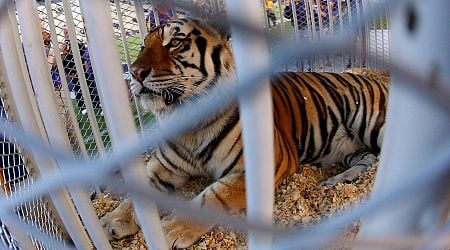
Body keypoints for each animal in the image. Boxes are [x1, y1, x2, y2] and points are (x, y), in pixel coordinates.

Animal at [100, 18, 388, 248]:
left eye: (176, 43)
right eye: (142, 46)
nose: (135, 72)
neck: (188, 125)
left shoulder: (261, 167)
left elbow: (212, 197)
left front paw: (169, 229)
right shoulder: (164, 166)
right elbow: (137, 192)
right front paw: (112, 220)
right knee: (368, 159)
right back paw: (337, 181)